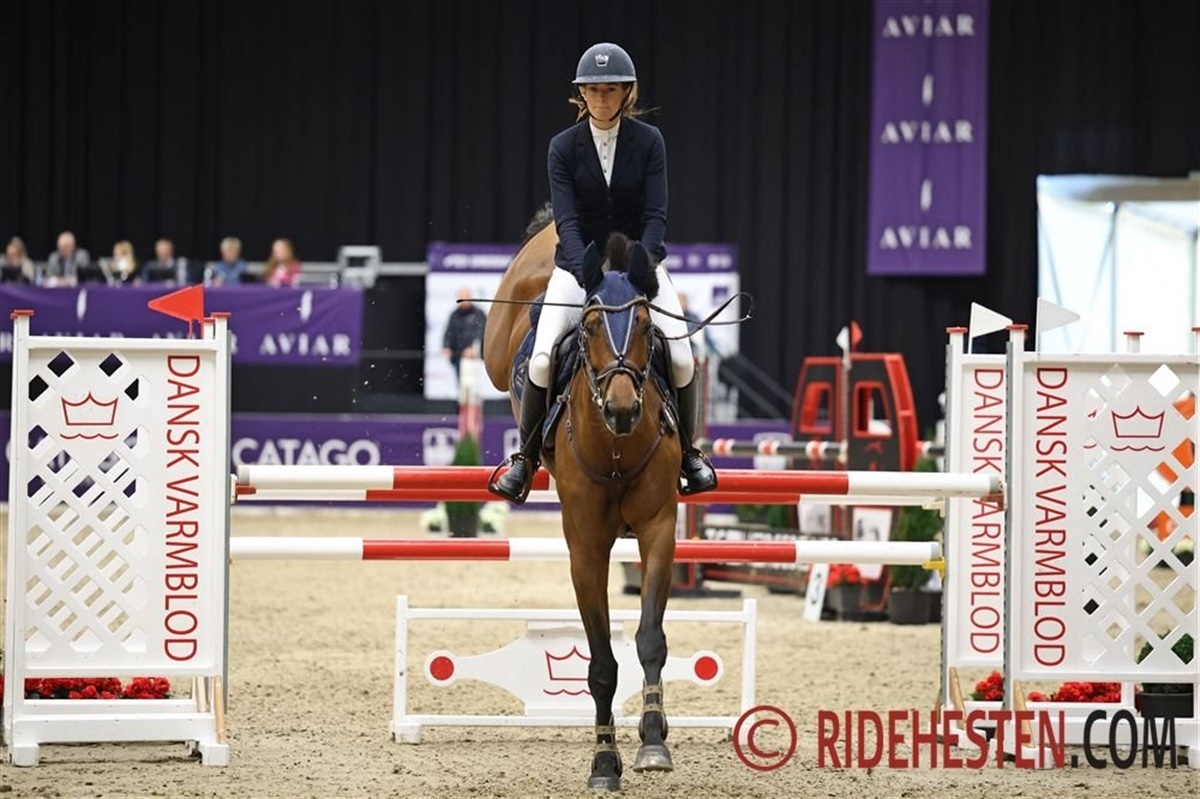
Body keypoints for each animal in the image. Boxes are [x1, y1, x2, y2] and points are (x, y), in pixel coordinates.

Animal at [483, 221, 682, 792]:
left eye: (645, 326)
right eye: (591, 328)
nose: (621, 409)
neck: (616, 449)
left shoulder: (659, 530)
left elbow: (649, 640)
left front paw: (653, 741)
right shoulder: (586, 550)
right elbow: (600, 664)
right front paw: (604, 763)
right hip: (499, 349)